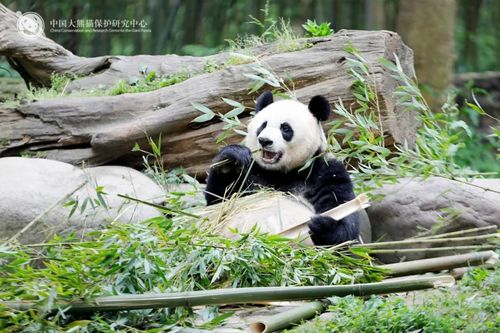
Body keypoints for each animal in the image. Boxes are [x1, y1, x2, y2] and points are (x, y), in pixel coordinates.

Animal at [204, 91, 360, 244]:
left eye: (285, 128)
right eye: (263, 125)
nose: (264, 140)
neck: (282, 172)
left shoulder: (325, 172)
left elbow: (344, 213)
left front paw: (323, 226)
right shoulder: (253, 171)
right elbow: (220, 200)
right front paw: (232, 158)